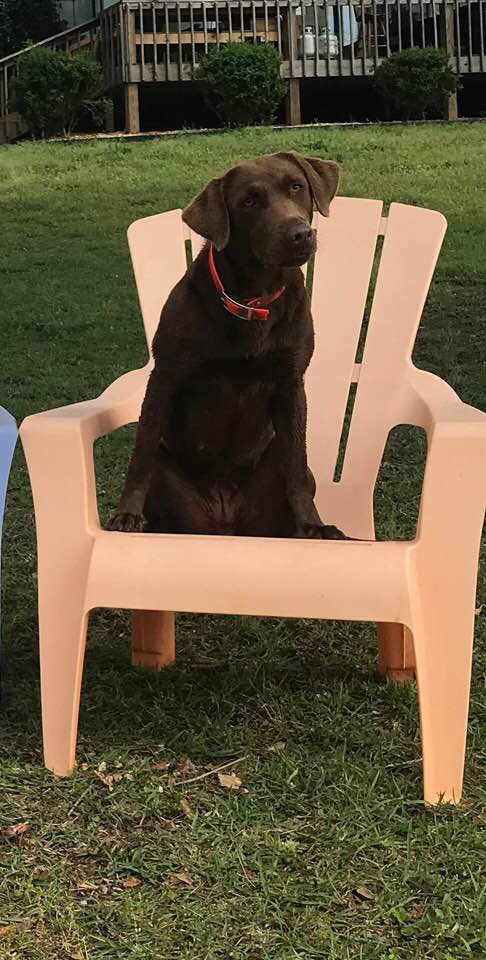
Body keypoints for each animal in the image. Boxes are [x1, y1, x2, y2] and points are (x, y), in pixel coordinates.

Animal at [108, 150, 348, 540]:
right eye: (249, 202)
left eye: (296, 187)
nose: (299, 234)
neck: (253, 300)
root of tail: (224, 521)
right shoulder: (165, 377)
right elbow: (140, 454)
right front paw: (126, 514)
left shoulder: (290, 382)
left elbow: (297, 466)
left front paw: (313, 524)